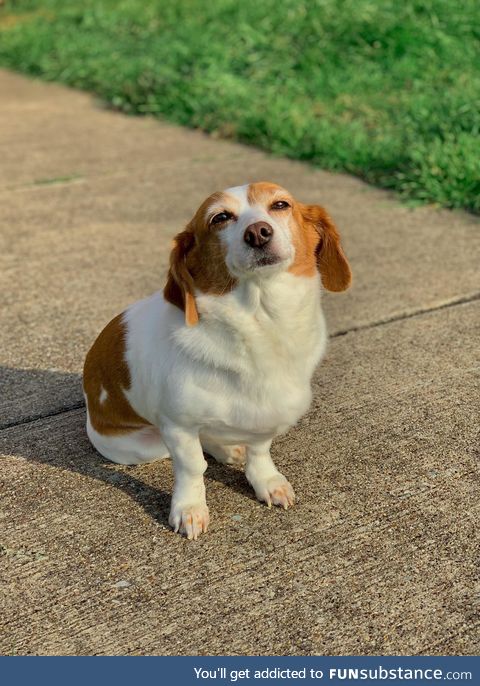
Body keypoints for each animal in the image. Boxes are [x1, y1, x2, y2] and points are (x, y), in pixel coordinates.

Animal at [83, 185, 352, 540]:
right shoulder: (178, 427)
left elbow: (259, 451)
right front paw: (189, 509)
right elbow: (192, 466)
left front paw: (266, 480)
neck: (260, 320)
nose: (258, 232)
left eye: (280, 204)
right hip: (143, 446)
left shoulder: (265, 417)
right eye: (220, 217)